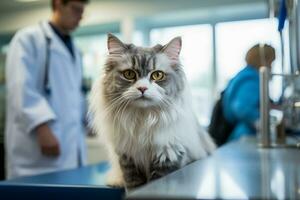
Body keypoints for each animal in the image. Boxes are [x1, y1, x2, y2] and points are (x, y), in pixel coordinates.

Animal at [88, 33, 216, 189]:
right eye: (129, 74)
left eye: (157, 75)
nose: (142, 88)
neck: (144, 119)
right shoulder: (127, 157)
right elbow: (133, 184)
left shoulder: (169, 154)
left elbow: (158, 181)